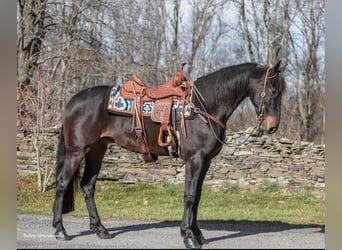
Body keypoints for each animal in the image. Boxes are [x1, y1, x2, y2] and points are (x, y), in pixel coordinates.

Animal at [51, 60, 286, 248]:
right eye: (273, 91)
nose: (273, 126)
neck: (204, 107)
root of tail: (72, 101)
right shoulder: (194, 160)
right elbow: (190, 197)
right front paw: (188, 237)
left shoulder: (205, 163)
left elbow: (197, 197)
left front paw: (197, 234)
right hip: (77, 151)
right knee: (62, 183)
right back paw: (60, 230)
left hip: (97, 150)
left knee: (87, 186)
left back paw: (100, 229)